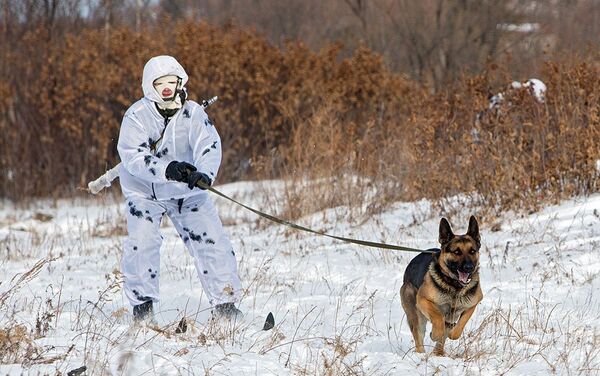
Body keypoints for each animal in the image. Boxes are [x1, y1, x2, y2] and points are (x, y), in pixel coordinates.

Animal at [400, 216, 486, 354]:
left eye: (472, 251)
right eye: (456, 252)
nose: (469, 267)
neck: (455, 286)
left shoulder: (471, 305)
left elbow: (459, 326)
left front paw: (452, 334)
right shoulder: (423, 300)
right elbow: (437, 317)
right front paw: (435, 334)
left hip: (450, 317)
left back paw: (438, 353)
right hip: (415, 314)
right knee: (418, 334)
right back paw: (422, 353)